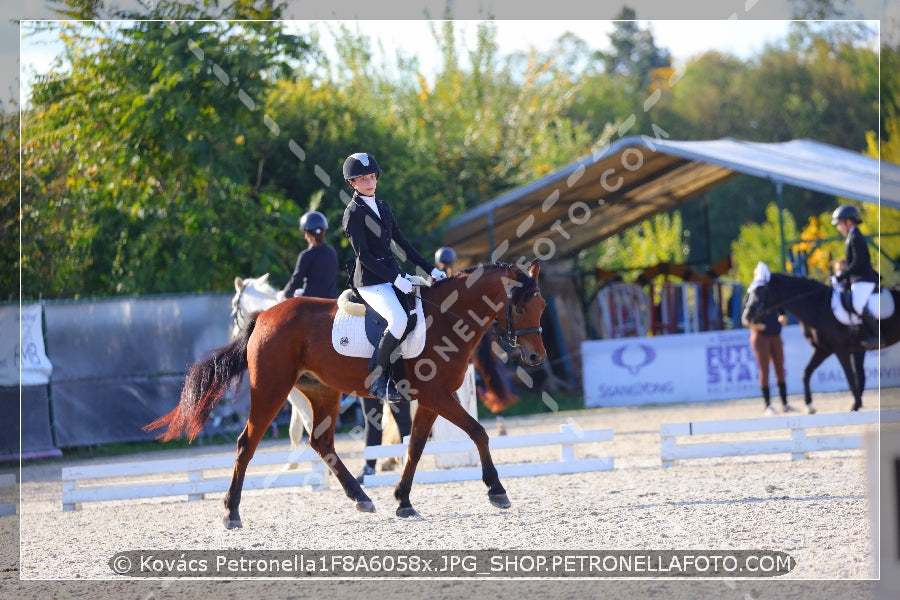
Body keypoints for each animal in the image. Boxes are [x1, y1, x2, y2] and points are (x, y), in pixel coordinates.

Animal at [144, 260, 544, 528]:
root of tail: (265, 317)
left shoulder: (433, 398)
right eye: (519, 306)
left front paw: (402, 500)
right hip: (272, 390)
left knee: (321, 443)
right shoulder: (436, 395)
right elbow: (477, 432)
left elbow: (415, 447)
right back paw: (231, 512)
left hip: (322, 393)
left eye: (540, 306)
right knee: (247, 443)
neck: (444, 318)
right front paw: (497, 491)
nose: (536, 358)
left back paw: (361, 497)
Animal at [740, 268, 896, 412]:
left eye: (761, 290)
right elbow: (806, 373)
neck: (819, 306)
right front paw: (809, 405)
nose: (747, 316)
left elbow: (850, 376)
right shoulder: (823, 349)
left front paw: (856, 405)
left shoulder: (841, 349)